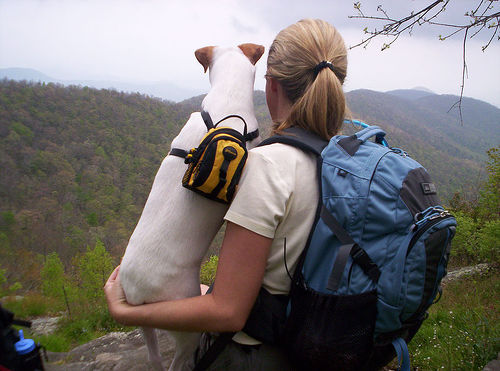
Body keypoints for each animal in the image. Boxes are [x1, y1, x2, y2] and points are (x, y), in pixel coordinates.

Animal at [118, 44, 264, 371]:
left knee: (154, 356)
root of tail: (137, 292)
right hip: (188, 326)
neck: (226, 101)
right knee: (179, 360)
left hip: (145, 324)